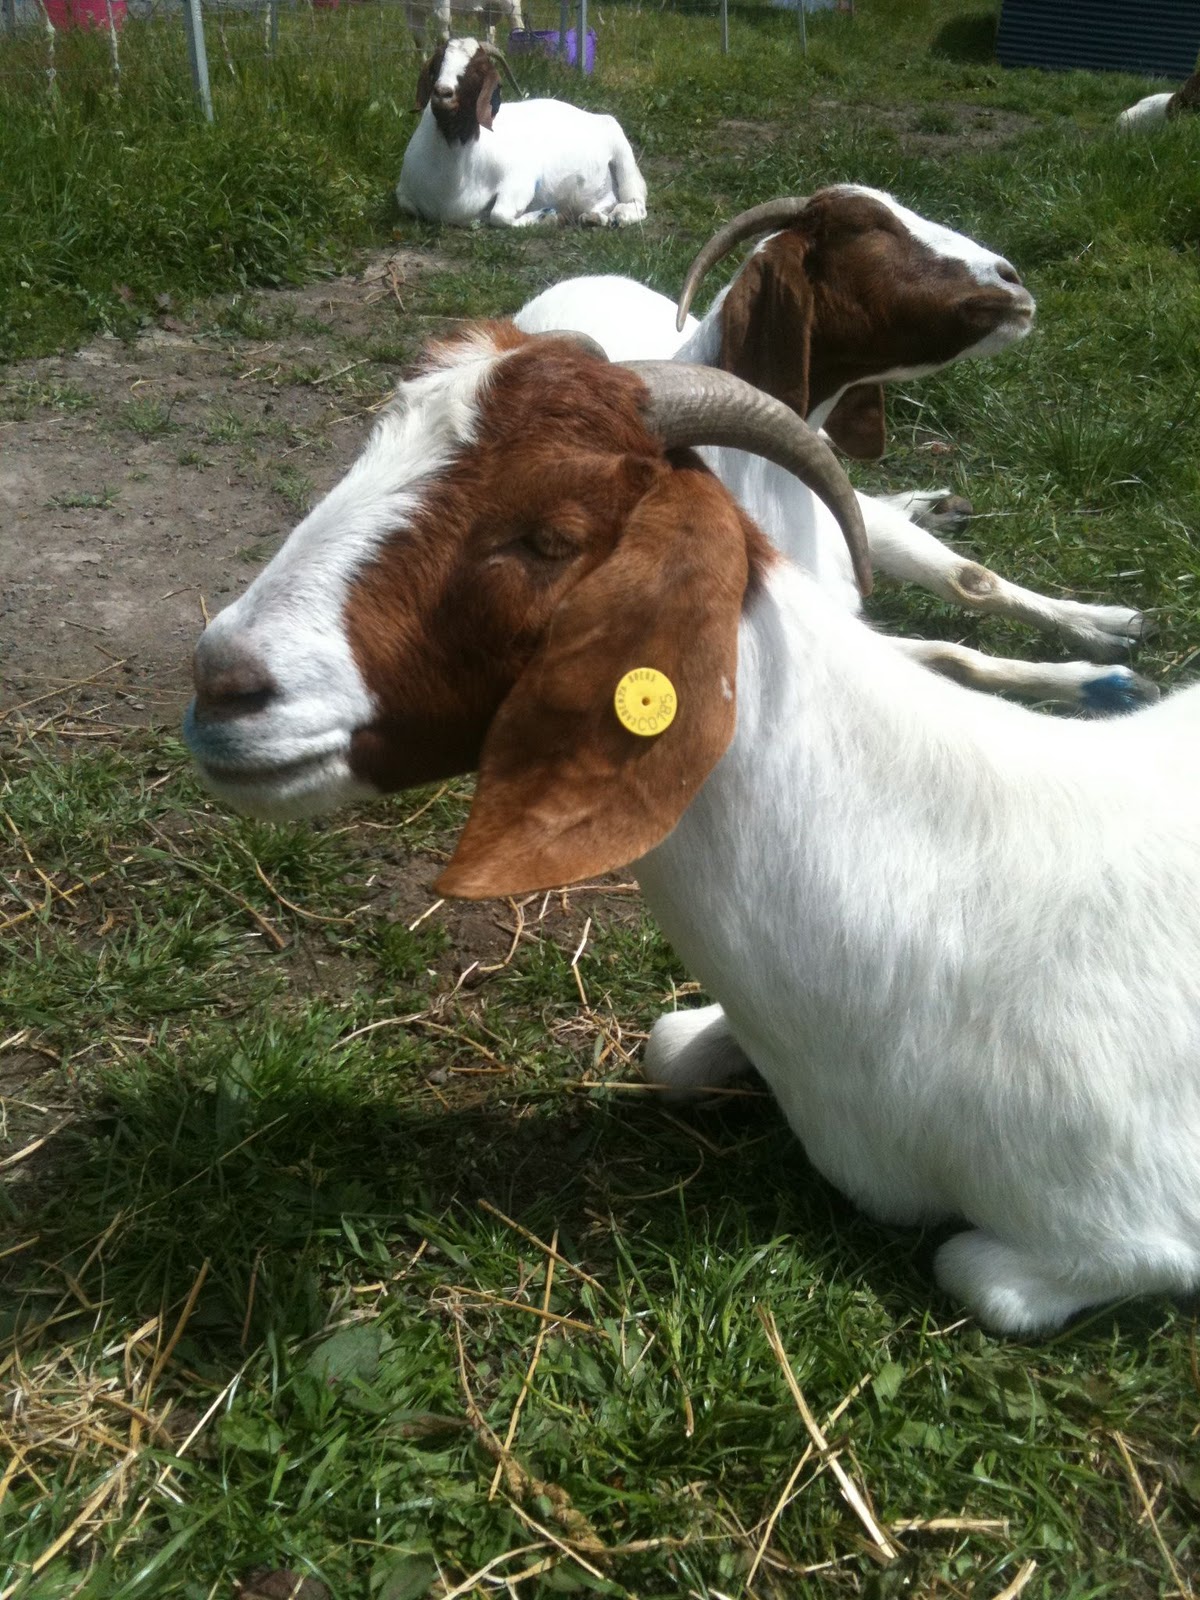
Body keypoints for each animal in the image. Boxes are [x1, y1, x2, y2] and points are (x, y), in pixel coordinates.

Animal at [395, 38, 647, 228]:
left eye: (478, 70)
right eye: (437, 64)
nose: (443, 93)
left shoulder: (521, 179)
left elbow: (499, 216)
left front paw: (549, 216)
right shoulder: (403, 193)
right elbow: (407, 207)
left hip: (623, 156)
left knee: (637, 203)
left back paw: (618, 217)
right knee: (605, 203)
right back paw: (594, 217)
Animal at [515, 187, 1155, 712]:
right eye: (870, 226)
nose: (1012, 279)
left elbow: (971, 579)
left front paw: (1108, 632)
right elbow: (947, 657)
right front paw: (1099, 681)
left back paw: (929, 506)